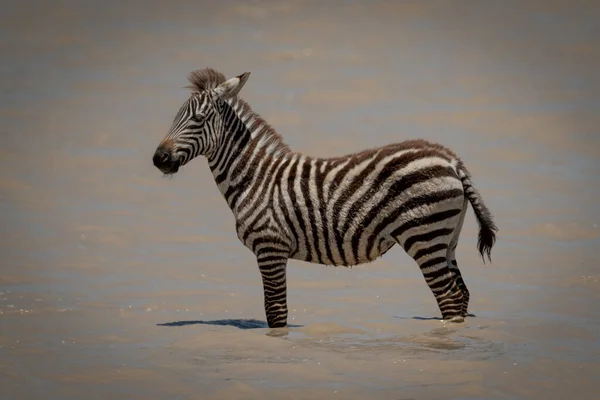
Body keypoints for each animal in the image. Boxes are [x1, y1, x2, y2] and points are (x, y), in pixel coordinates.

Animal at [152, 68, 500, 328]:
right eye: (175, 117)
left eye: (197, 120)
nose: (158, 158)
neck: (255, 177)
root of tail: (451, 159)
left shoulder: (270, 247)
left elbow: (275, 313)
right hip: (446, 238)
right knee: (461, 295)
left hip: (424, 236)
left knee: (450, 299)